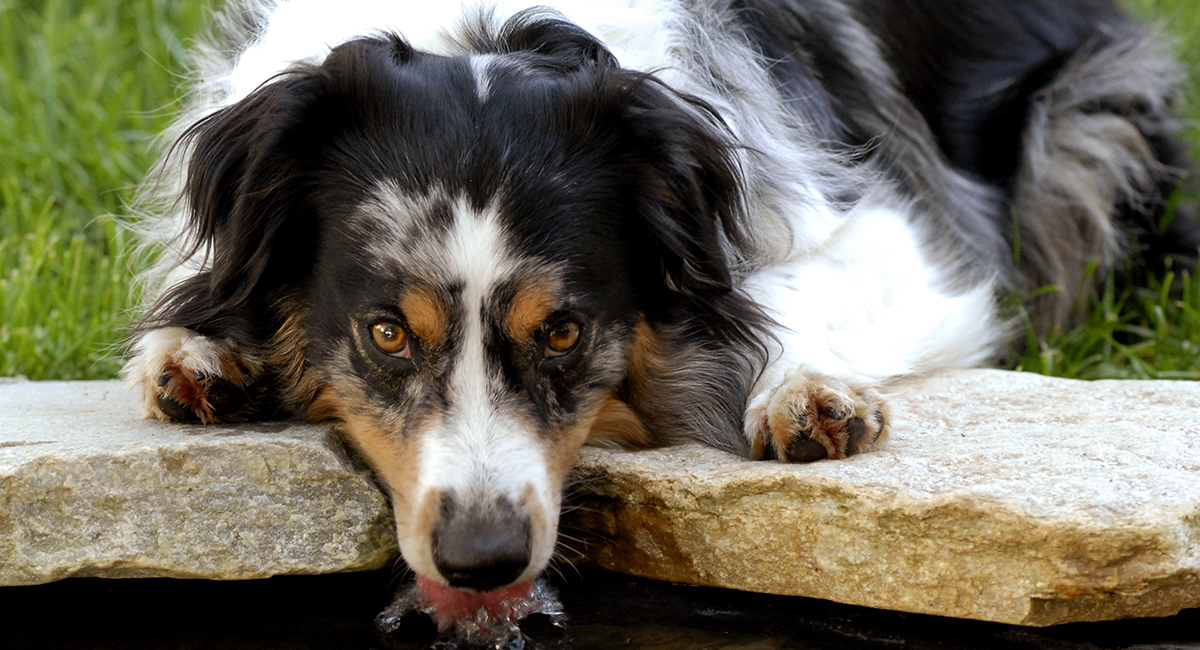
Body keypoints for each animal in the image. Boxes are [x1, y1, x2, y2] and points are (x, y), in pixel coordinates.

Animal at [126, 0, 1195, 611]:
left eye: (564, 331)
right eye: (387, 334)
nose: (482, 562)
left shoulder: (898, 233)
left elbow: (774, 287)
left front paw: (803, 395)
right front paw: (201, 356)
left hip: (1090, 126)